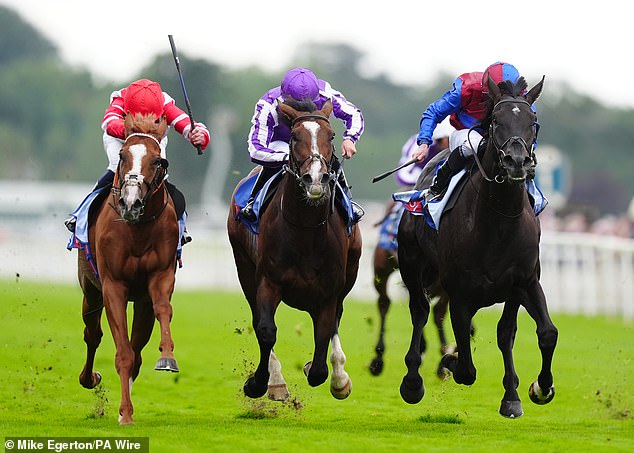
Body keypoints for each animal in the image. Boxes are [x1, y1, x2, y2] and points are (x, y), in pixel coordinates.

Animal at [78, 113, 180, 424]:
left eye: (159, 161)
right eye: (123, 156)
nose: (131, 203)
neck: (137, 228)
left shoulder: (158, 279)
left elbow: (163, 310)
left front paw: (167, 357)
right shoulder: (113, 285)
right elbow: (122, 352)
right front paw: (125, 413)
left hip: (141, 303)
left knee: (137, 348)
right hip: (90, 289)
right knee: (92, 334)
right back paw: (90, 378)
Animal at [226, 98, 360, 400]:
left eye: (331, 136)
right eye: (295, 136)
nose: (316, 178)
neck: (305, 230)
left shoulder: (329, 291)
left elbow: (323, 343)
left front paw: (328, 373)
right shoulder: (268, 281)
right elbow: (265, 330)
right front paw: (260, 383)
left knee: (336, 319)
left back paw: (340, 376)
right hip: (244, 268)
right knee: (257, 316)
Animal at [398, 74, 556, 416]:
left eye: (533, 121)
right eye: (496, 120)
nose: (516, 162)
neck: (498, 223)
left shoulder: (524, 282)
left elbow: (537, 333)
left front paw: (532, 390)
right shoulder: (460, 292)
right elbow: (466, 368)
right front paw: (449, 359)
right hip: (412, 263)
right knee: (419, 311)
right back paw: (413, 381)